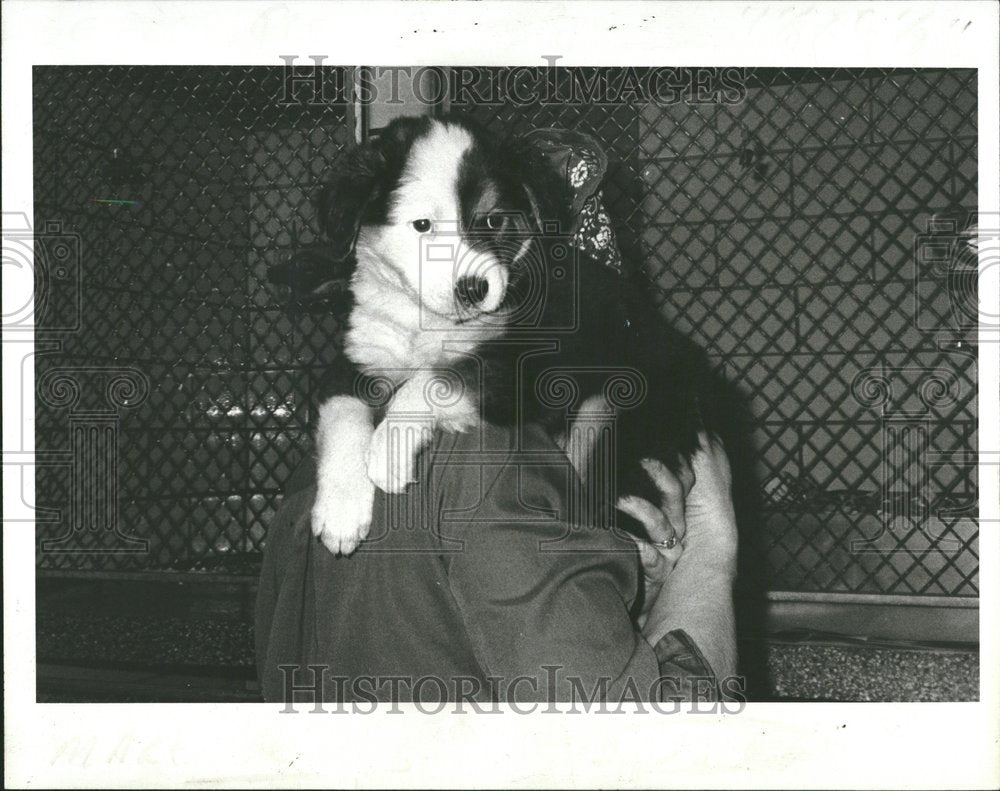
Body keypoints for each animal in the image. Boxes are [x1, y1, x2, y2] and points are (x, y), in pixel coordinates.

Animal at [294, 116, 712, 556]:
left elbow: (434, 378)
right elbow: (342, 411)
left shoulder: (528, 370)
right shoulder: (359, 357)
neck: (426, 319)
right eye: (422, 225)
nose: (474, 289)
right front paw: (340, 511)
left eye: (494, 220)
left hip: (613, 405)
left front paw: (387, 453)